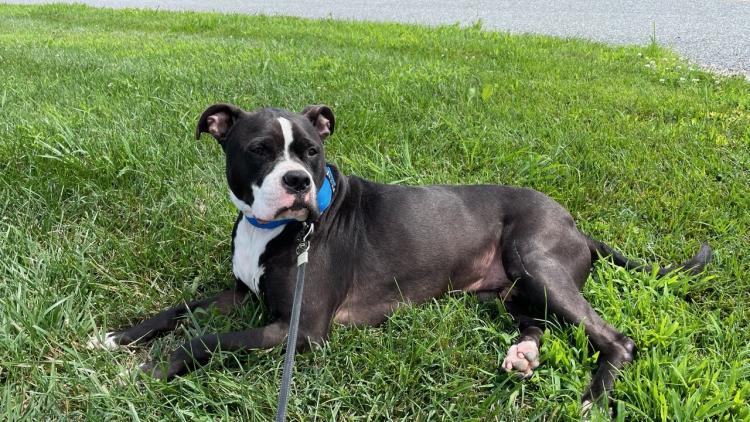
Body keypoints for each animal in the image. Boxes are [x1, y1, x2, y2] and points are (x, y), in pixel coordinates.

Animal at [88, 104, 712, 410]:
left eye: (312, 153)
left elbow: (205, 340)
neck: (273, 229)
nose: (296, 181)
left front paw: (147, 370)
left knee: (616, 339)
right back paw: (523, 355)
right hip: (507, 290)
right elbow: (181, 310)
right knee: (536, 321)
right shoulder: (240, 295)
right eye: (260, 150)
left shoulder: (298, 330)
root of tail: (576, 225)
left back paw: (591, 397)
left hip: (539, 262)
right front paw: (117, 338)